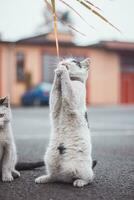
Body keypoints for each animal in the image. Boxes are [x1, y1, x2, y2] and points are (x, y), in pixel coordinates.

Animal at [35, 57, 94, 188]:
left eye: (73, 61)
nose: (63, 61)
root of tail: (65, 178)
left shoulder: (72, 100)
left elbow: (68, 87)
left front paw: (63, 71)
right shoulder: (54, 104)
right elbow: (54, 91)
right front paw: (57, 73)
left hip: (82, 168)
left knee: (90, 178)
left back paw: (79, 182)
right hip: (49, 159)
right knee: (54, 176)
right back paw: (43, 178)